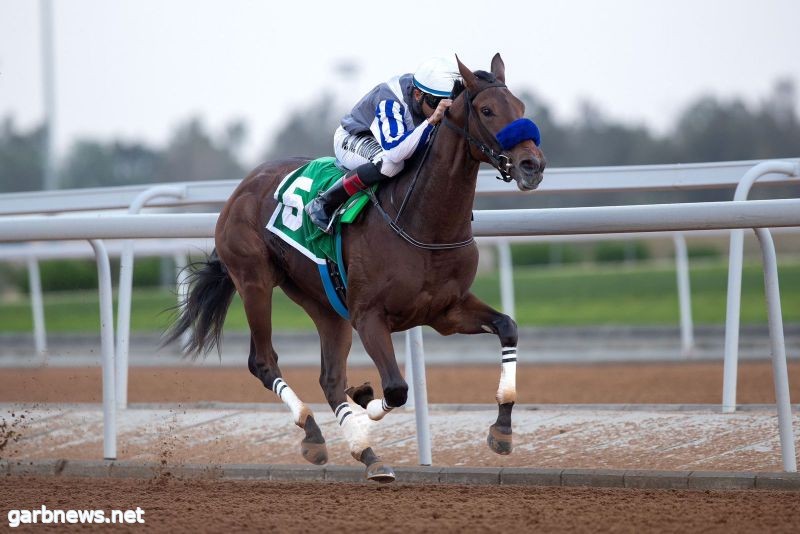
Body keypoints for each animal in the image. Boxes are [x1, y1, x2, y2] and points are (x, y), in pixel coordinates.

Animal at [166, 55, 548, 486]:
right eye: (486, 110)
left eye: (520, 106)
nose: (532, 165)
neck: (422, 223)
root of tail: (241, 188)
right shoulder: (369, 316)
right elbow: (396, 388)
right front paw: (366, 399)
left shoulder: (446, 311)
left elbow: (507, 327)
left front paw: (502, 428)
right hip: (254, 282)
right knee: (263, 361)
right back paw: (318, 431)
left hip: (324, 303)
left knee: (330, 377)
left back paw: (362, 451)